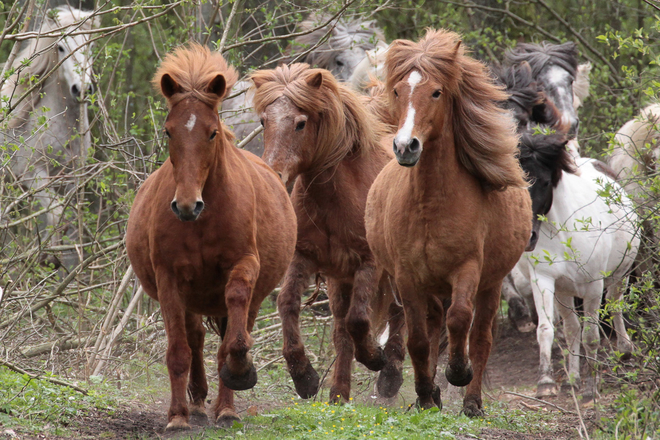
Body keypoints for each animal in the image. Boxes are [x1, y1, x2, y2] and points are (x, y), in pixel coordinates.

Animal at [1, 6, 98, 264]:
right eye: (61, 47)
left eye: (91, 45)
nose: (82, 90)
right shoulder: (33, 175)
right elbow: (55, 212)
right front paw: (49, 256)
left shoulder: (72, 177)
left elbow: (69, 215)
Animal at [126, 44, 296, 430]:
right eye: (169, 131)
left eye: (212, 132)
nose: (187, 205)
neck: (202, 222)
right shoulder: (169, 279)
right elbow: (179, 351)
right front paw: (178, 416)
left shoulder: (244, 266)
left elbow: (234, 337)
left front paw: (238, 376)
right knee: (195, 338)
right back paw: (199, 401)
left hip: (251, 293)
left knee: (229, 332)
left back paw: (224, 404)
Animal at [251, 63, 404, 404]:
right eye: (264, 121)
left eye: (300, 123)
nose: (272, 175)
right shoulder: (305, 257)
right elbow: (288, 304)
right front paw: (303, 375)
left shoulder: (370, 263)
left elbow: (359, 320)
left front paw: (373, 357)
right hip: (340, 282)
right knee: (342, 332)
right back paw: (338, 394)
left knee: (401, 317)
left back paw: (391, 375)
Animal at [364, 30, 532, 416]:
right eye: (398, 91)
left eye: (436, 92)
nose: (405, 146)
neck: (431, 204)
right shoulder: (407, 277)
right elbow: (417, 339)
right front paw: (426, 395)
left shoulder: (468, 269)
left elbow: (459, 319)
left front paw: (458, 371)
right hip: (429, 286)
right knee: (431, 328)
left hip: (491, 283)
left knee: (480, 335)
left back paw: (472, 401)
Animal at [516, 136, 640, 400]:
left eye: (544, 182)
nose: (527, 237)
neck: (564, 229)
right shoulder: (543, 279)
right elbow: (546, 329)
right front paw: (546, 382)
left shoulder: (594, 286)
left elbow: (591, 337)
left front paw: (591, 388)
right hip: (564, 292)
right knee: (572, 327)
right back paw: (571, 378)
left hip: (620, 275)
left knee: (614, 305)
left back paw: (625, 349)